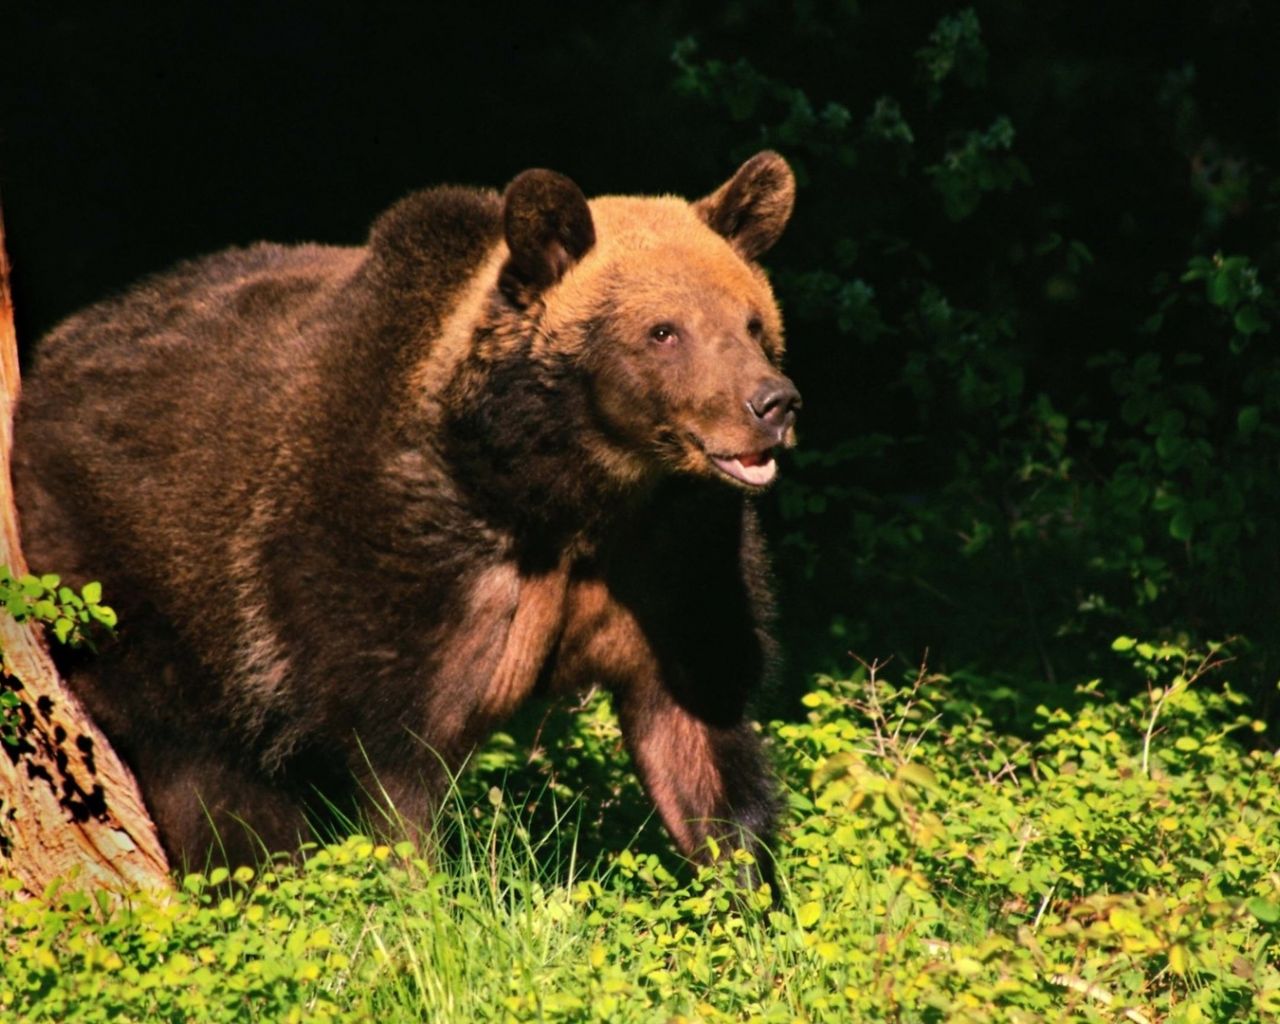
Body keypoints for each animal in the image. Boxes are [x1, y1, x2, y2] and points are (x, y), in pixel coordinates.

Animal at [12, 149, 798, 880]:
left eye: (753, 322)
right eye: (664, 331)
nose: (773, 403)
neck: (561, 489)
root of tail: (49, 359)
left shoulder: (675, 567)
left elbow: (701, 747)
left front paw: (748, 895)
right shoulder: (391, 565)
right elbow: (398, 777)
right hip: (133, 590)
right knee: (208, 775)